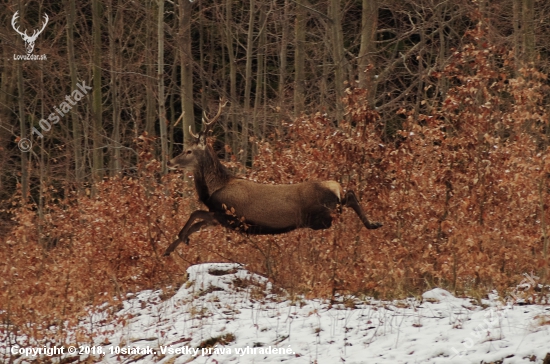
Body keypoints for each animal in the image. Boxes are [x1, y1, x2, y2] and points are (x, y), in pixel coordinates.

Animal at [162, 101, 382, 258]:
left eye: (188, 151)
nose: (170, 161)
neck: (215, 187)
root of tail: (334, 187)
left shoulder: (227, 214)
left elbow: (195, 213)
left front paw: (179, 239)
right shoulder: (219, 219)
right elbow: (196, 223)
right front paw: (170, 249)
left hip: (320, 215)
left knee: (347, 199)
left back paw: (371, 224)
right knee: (350, 194)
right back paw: (375, 224)